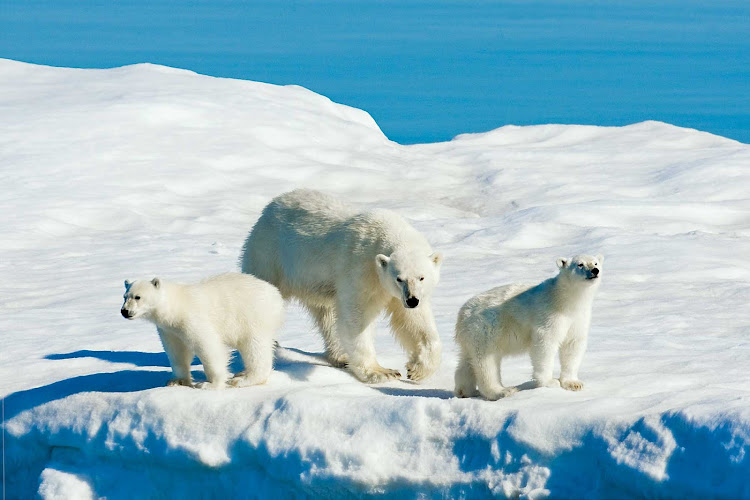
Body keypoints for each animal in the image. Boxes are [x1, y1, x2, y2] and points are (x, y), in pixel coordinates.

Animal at [120, 272, 284, 388]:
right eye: (124, 296)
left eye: (138, 297)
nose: (124, 311)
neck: (175, 306)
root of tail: (276, 295)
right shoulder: (169, 329)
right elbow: (177, 351)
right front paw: (177, 381)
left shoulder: (192, 319)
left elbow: (208, 346)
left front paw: (209, 384)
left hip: (252, 317)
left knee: (255, 348)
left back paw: (242, 379)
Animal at [241, 190, 444, 382]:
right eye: (399, 278)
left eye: (422, 277)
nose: (412, 300)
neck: (383, 232)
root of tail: (270, 207)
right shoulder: (361, 269)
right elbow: (357, 317)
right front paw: (380, 372)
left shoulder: (401, 294)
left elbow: (414, 321)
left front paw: (418, 369)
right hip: (270, 256)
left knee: (327, 313)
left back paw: (341, 356)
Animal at [452, 256, 604, 400]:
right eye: (580, 264)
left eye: (595, 263)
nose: (595, 270)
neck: (565, 300)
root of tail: (462, 313)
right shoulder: (549, 315)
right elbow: (545, 344)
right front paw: (549, 382)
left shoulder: (577, 319)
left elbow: (572, 345)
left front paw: (573, 383)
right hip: (486, 328)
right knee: (487, 361)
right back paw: (502, 391)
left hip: (472, 334)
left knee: (467, 361)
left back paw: (466, 391)